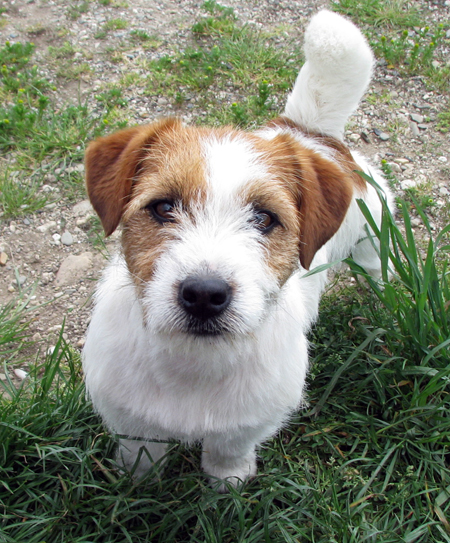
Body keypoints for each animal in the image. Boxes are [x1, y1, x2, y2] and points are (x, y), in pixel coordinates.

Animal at [82, 10, 392, 488]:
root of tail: (309, 131)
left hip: (373, 238)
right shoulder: (128, 418)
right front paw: (138, 484)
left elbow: (228, 450)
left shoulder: (249, 421)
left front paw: (229, 483)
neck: (194, 365)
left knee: (377, 268)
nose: (204, 294)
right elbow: (142, 452)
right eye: (163, 207)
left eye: (265, 218)